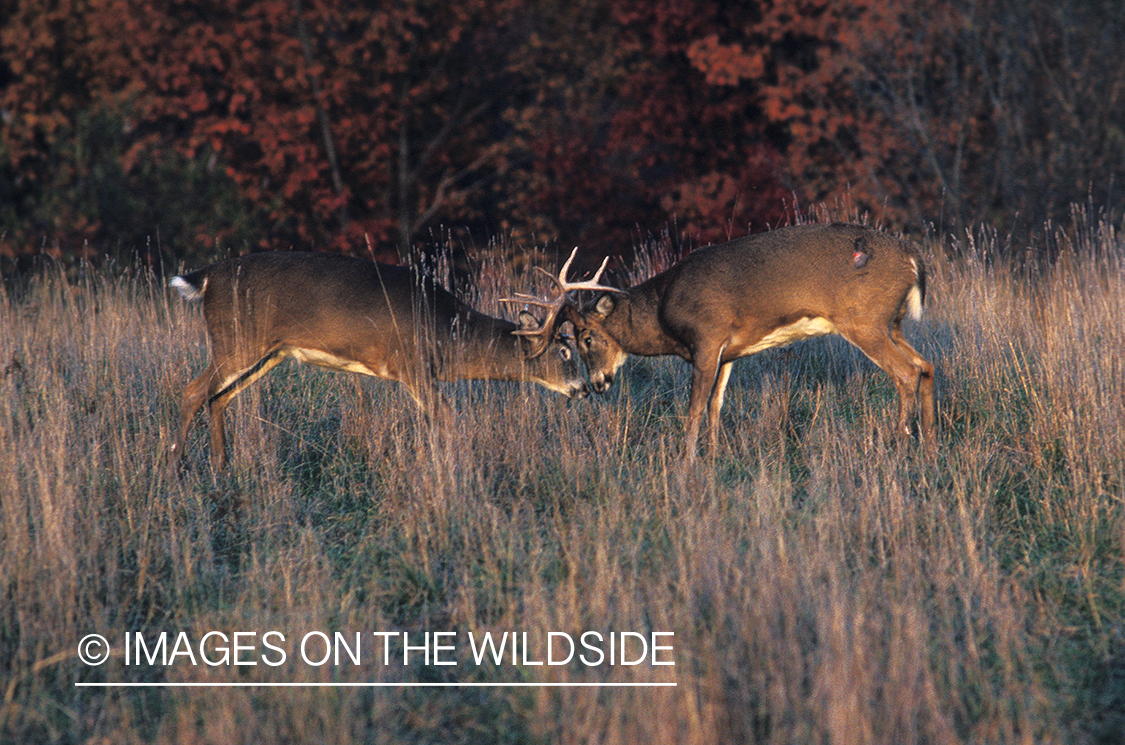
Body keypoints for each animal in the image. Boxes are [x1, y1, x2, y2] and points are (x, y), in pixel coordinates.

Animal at [169, 250, 589, 471]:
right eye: (564, 350)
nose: (584, 388)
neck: (446, 332)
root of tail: (205, 277)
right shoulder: (413, 365)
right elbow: (447, 419)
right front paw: (454, 472)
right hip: (235, 341)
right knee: (191, 393)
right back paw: (174, 470)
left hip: (268, 353)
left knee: (217, 398)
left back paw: (221, 468)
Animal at [512, 223, 936, 458]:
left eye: (585, 337)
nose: (599, 383)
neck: (664, 313)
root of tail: (913, 258)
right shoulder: (729, 351)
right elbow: (717, 405)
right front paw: (715, 458)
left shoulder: (706, 338)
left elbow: (694, 408)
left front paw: (686, 464)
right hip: (893, 323)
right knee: (926, 366)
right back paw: (929, 447)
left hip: (864, 321)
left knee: (905, 373)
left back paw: (900, 444)